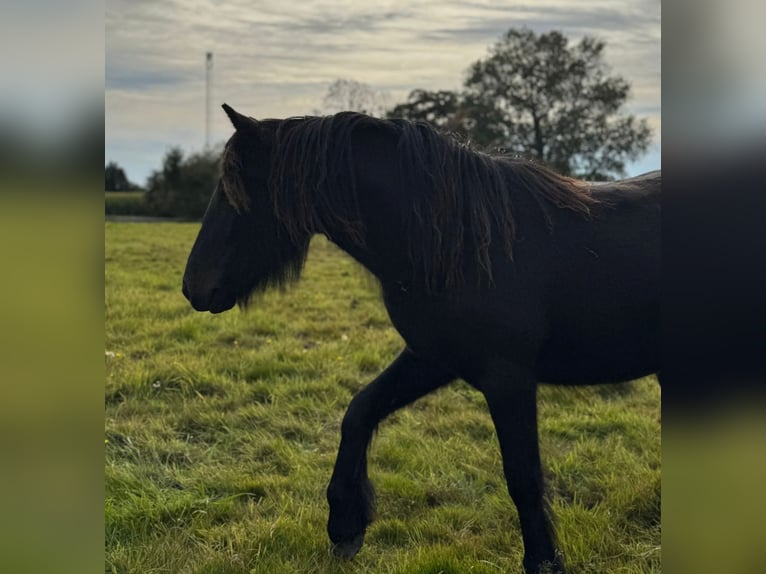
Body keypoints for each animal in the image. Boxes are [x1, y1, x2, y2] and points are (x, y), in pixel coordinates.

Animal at [182, 104, 660, 574]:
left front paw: (544, 562)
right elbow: (360, 411)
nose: (193, 287)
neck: (466, 245)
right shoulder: (432, 358)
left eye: (235, 192)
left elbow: (523, 476)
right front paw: (345, 525)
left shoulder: (508, 378)